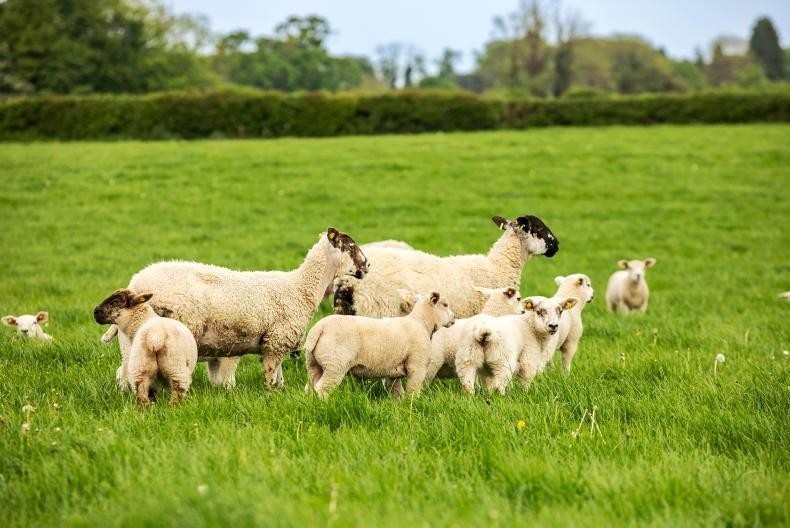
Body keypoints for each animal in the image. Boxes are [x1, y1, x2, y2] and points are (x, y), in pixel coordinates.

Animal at [109, 228, 368, 391]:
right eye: (350, 245)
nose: (367, 265)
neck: (301, 287)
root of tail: (136, 282)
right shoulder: (277, 341)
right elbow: (270, 376)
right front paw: (270, 396)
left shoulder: (275, 342)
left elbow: (279, 377)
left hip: (130, 340)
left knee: (123, 372)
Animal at [304, 291, 455, 399]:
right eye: (445, 304)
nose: (454, 319)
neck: (421, 322)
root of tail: (319, 328)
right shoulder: (417, 366)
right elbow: (413, 391)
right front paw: (413, 405)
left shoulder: (393, 372)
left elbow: (397, 392)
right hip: (335, 364)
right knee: (322, 389)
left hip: (314, 364)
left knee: (310, 387)